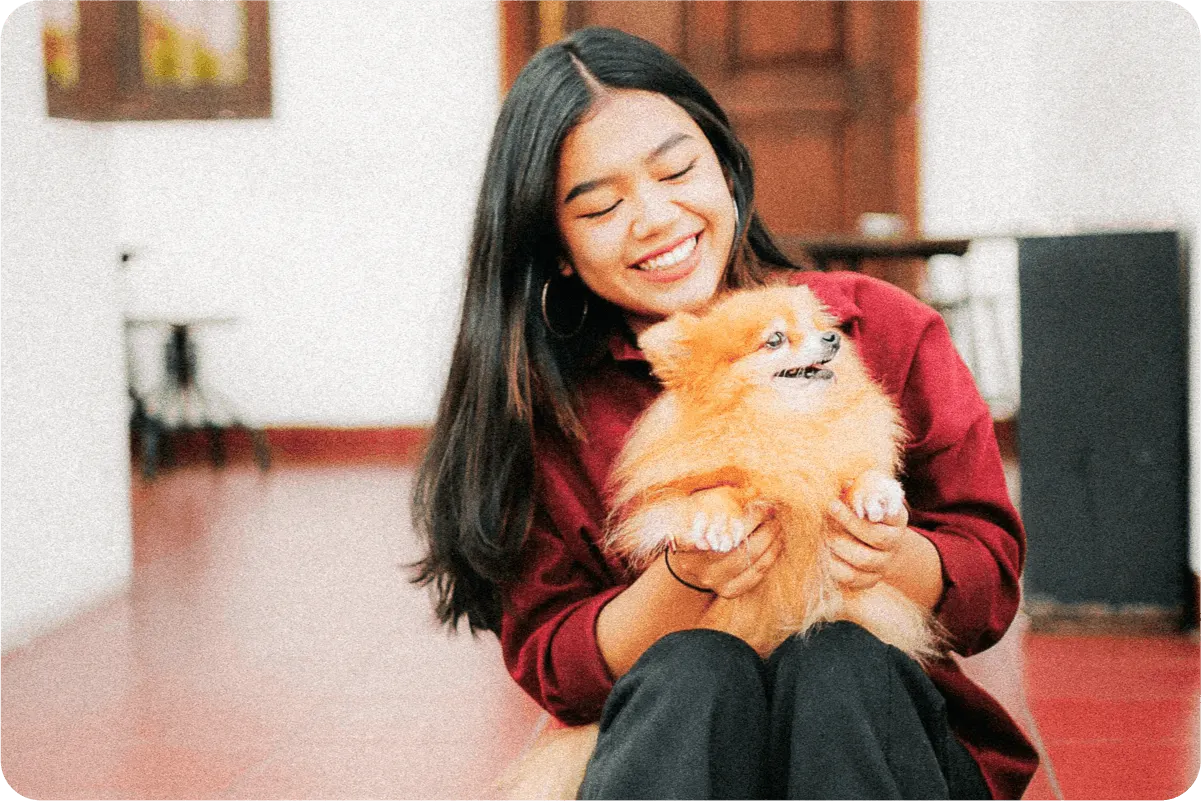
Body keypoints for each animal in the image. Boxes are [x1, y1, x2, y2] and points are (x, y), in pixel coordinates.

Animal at [497, 283, 936, 801]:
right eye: (775, 340)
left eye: (816, 326)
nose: (832, 337)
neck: (786, 427)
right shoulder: (680, 490)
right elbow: (718, 490)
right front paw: (717, 521)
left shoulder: (842, 456)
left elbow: (861, 471)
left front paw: (878, 496)